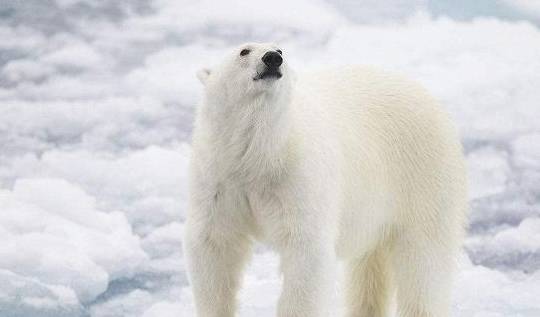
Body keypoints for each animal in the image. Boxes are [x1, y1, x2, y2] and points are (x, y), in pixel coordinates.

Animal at [184, 42, 466, 316]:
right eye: (244, 51)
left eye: (281, 49)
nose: (273, 58)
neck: (261, 153)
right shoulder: (219, 179)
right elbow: (215, 244)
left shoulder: (298, 177)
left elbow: (306, 250)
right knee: (369, 267)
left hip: (422, 176)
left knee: (424, 261)